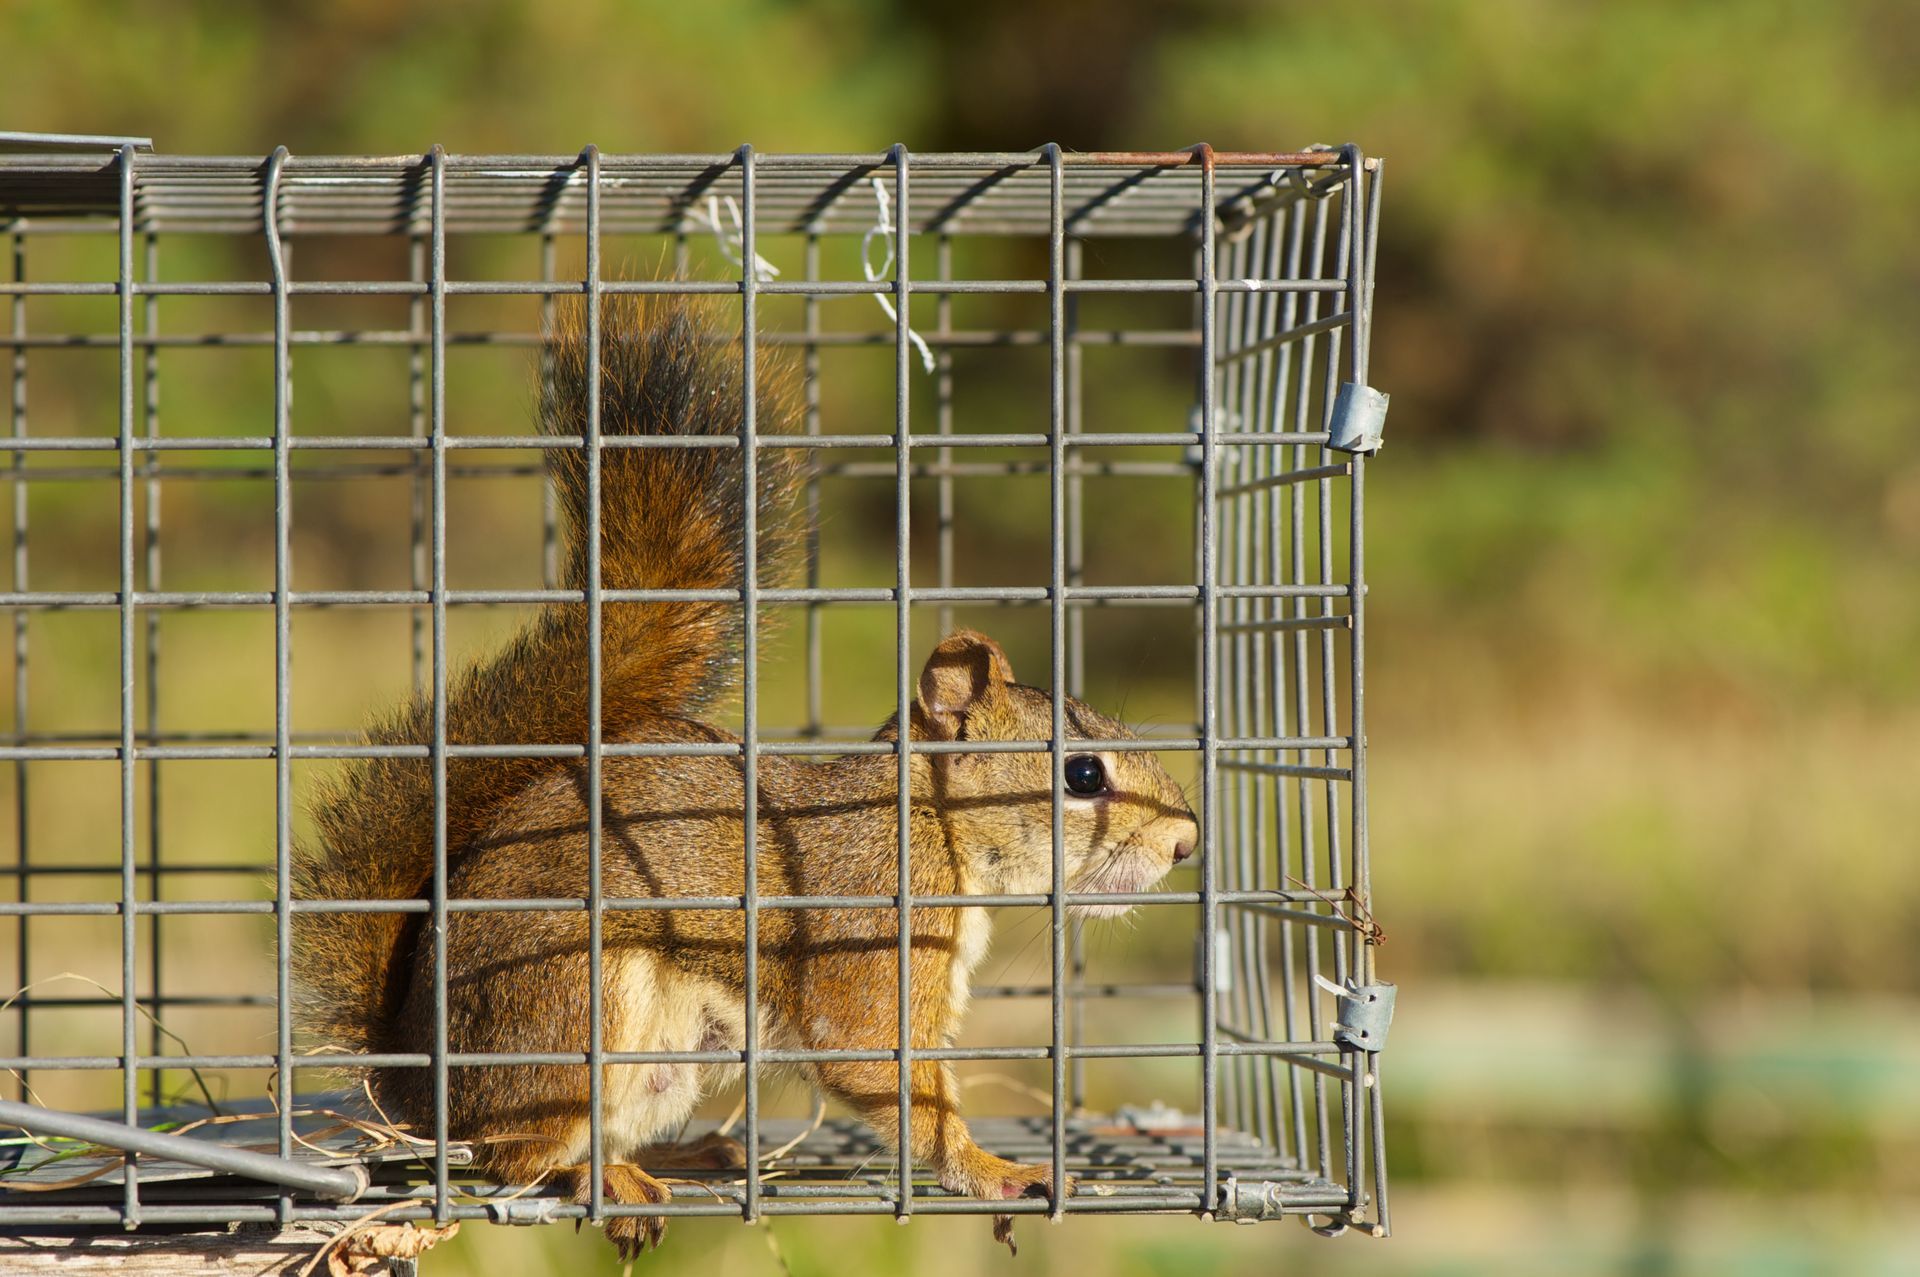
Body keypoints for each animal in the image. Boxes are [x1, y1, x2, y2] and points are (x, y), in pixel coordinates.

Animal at [289, 293, 1200, 1260]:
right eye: (1083, 771)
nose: (1187, 841)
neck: (927, 831)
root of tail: (417, 1081)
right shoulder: (864, 941)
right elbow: (891, 1078)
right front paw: (993, 1170)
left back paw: (689, 1156)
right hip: (572, 1007)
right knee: (514, 1153)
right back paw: (604, 1176)